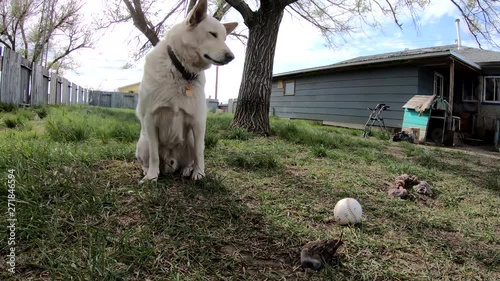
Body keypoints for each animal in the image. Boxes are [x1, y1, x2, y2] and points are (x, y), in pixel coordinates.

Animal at [135, 0, 238, 182]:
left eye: (224, 38)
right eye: (212, 34)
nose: (231, 57)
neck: (181, 71)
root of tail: (171, 162)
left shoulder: (198, 122)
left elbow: (199, 153)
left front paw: (199, 173)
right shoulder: (150, 119)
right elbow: (154, 155)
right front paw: (151, 177)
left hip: (189, 138)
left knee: (190, 158)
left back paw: (186, 169)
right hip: (143, 142)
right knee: (147, 159)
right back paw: (148, 171)